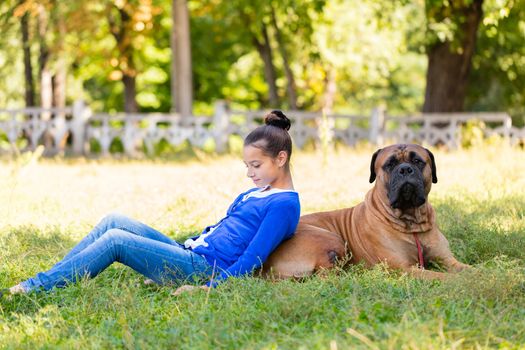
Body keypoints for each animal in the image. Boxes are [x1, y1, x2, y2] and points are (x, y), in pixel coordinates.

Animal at [264, 144, 468, 280]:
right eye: (390, 164)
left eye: (418, 161)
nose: (405, 169)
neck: (412, 223)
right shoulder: (404, 268)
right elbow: (442, 277)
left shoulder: (448, 260)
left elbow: (469, 269)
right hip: (331, 238)